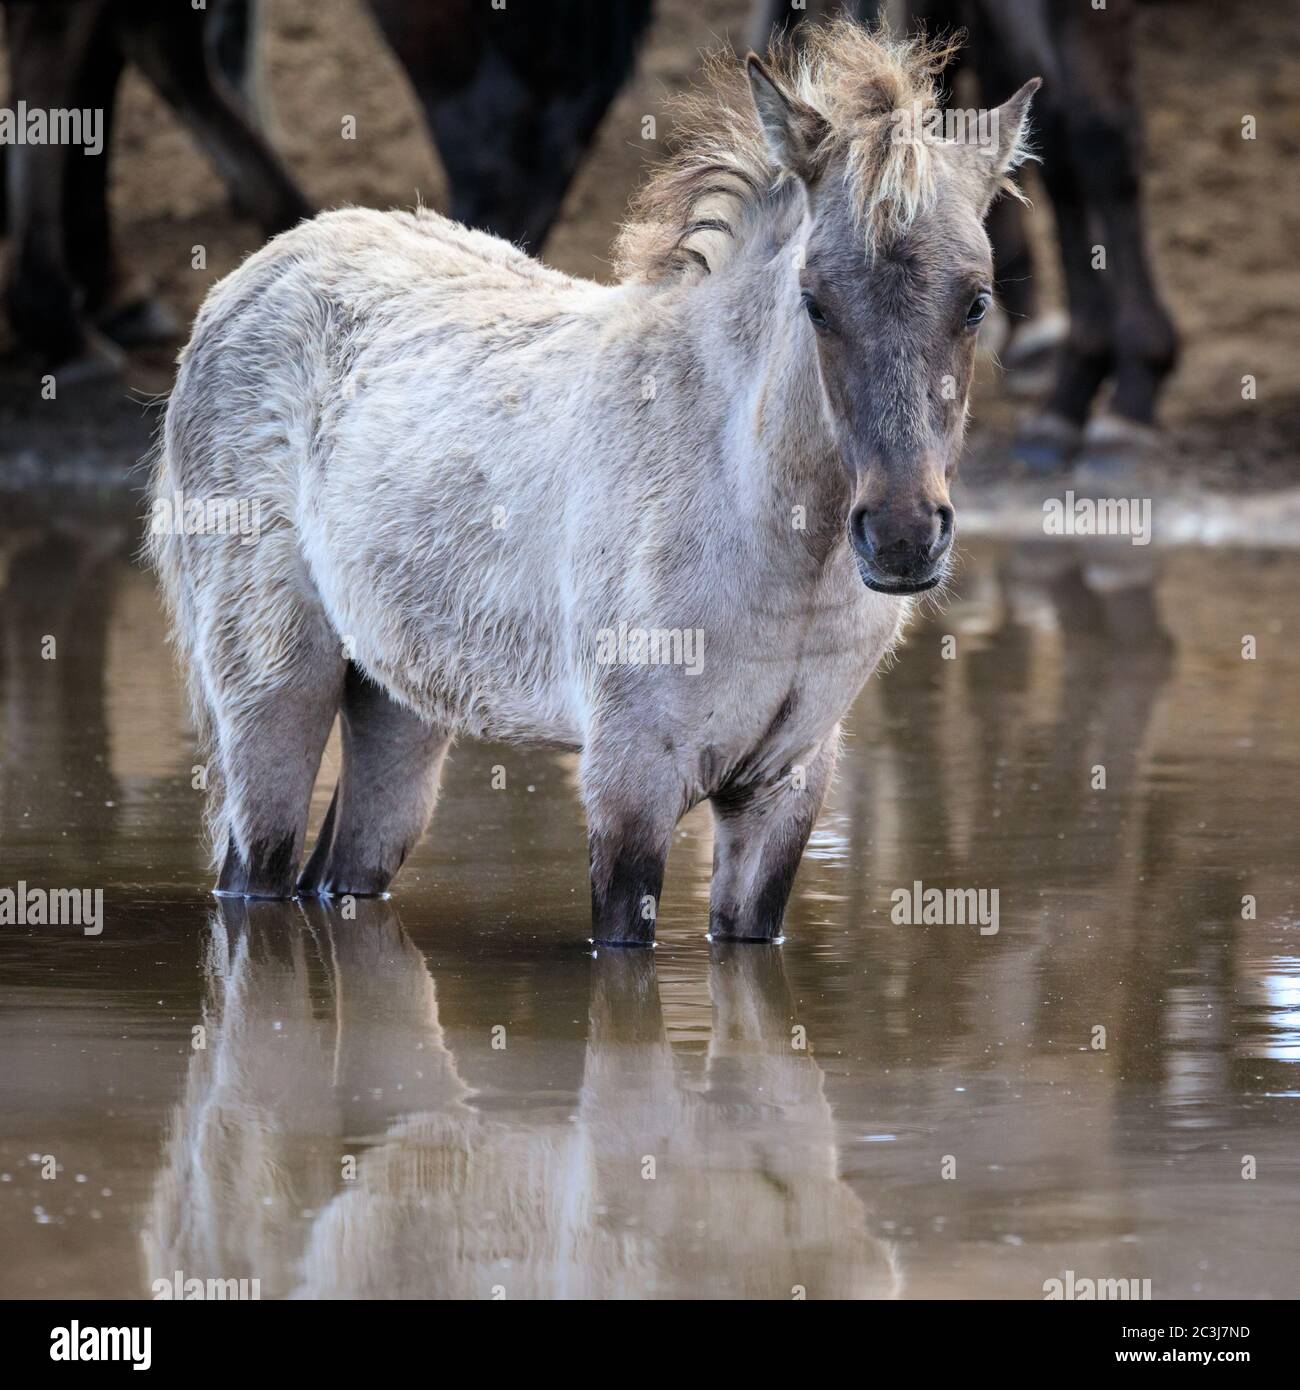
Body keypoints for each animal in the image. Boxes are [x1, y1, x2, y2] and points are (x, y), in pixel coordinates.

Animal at [149, 21, 1038, 946]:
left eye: (976, 303)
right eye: (816, 302)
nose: (902, 536)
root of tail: (243, 283)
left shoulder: (782, 792)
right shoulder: (630, 784)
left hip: (396, 706)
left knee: (341, 872)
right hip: (272, 696)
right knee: (255, 870)